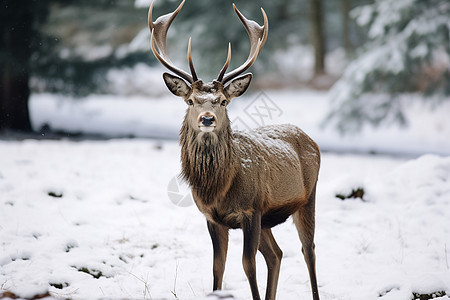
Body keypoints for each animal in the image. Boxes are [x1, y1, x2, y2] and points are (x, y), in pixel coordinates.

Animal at [149, 1, 322, 298]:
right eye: (191, 100)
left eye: (222, 101)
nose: (207, 119)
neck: (220, 186)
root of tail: (311, 140)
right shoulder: (213, 218)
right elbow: (218, 267)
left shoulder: (250, 210)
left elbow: (247, 265)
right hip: (268, 219)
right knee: (276, 254)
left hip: (307, 197)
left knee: (307, 250)